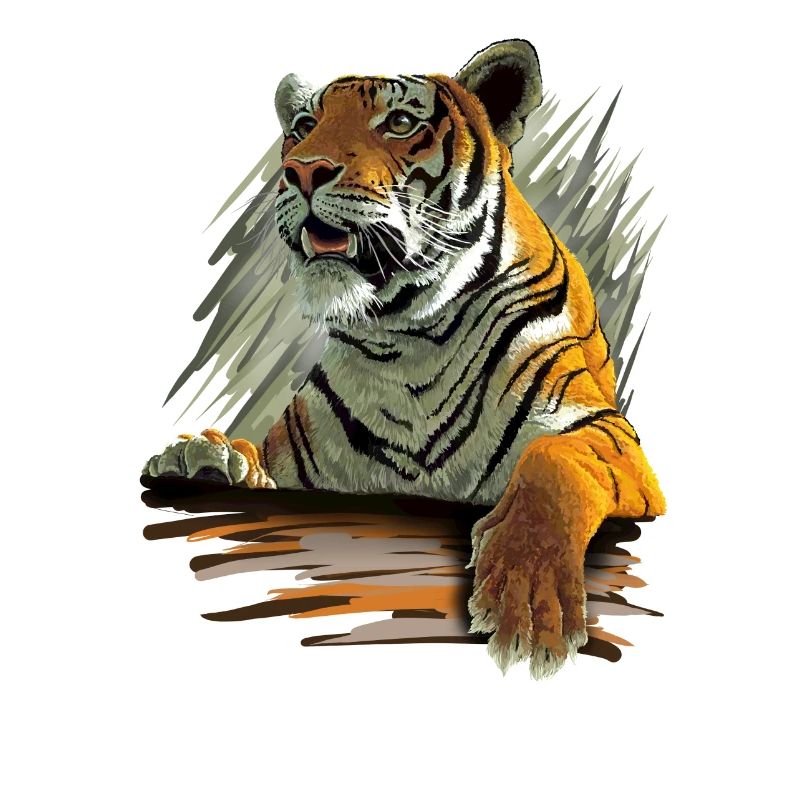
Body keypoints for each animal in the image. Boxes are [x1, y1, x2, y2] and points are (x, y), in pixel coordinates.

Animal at [145, 39, 666, 679]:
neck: (408, 341)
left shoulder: (604, 431)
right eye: (304, 126)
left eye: (398, 123)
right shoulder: (299, 469)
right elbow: (254, 460)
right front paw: (202, 458)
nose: (302, 170)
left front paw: (527, 602)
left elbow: (554, 465)